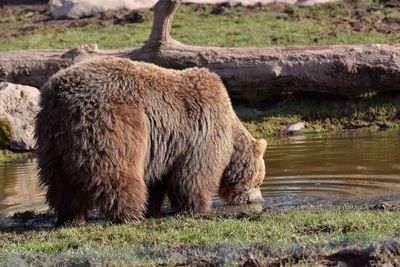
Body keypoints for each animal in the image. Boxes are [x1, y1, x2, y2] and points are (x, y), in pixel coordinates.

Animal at [34, 56, 266, 226]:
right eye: (259, 180)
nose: (259, 199)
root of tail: (61, 97)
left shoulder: (165, 147)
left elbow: (158, 180)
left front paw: (153, 208)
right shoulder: (201, 133)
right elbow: (193, 176)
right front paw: (197, 207)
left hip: (51, 139)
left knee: (60, 183)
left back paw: (71, 218)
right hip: (113, 123)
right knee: (117, 173)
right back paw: (129, 215)